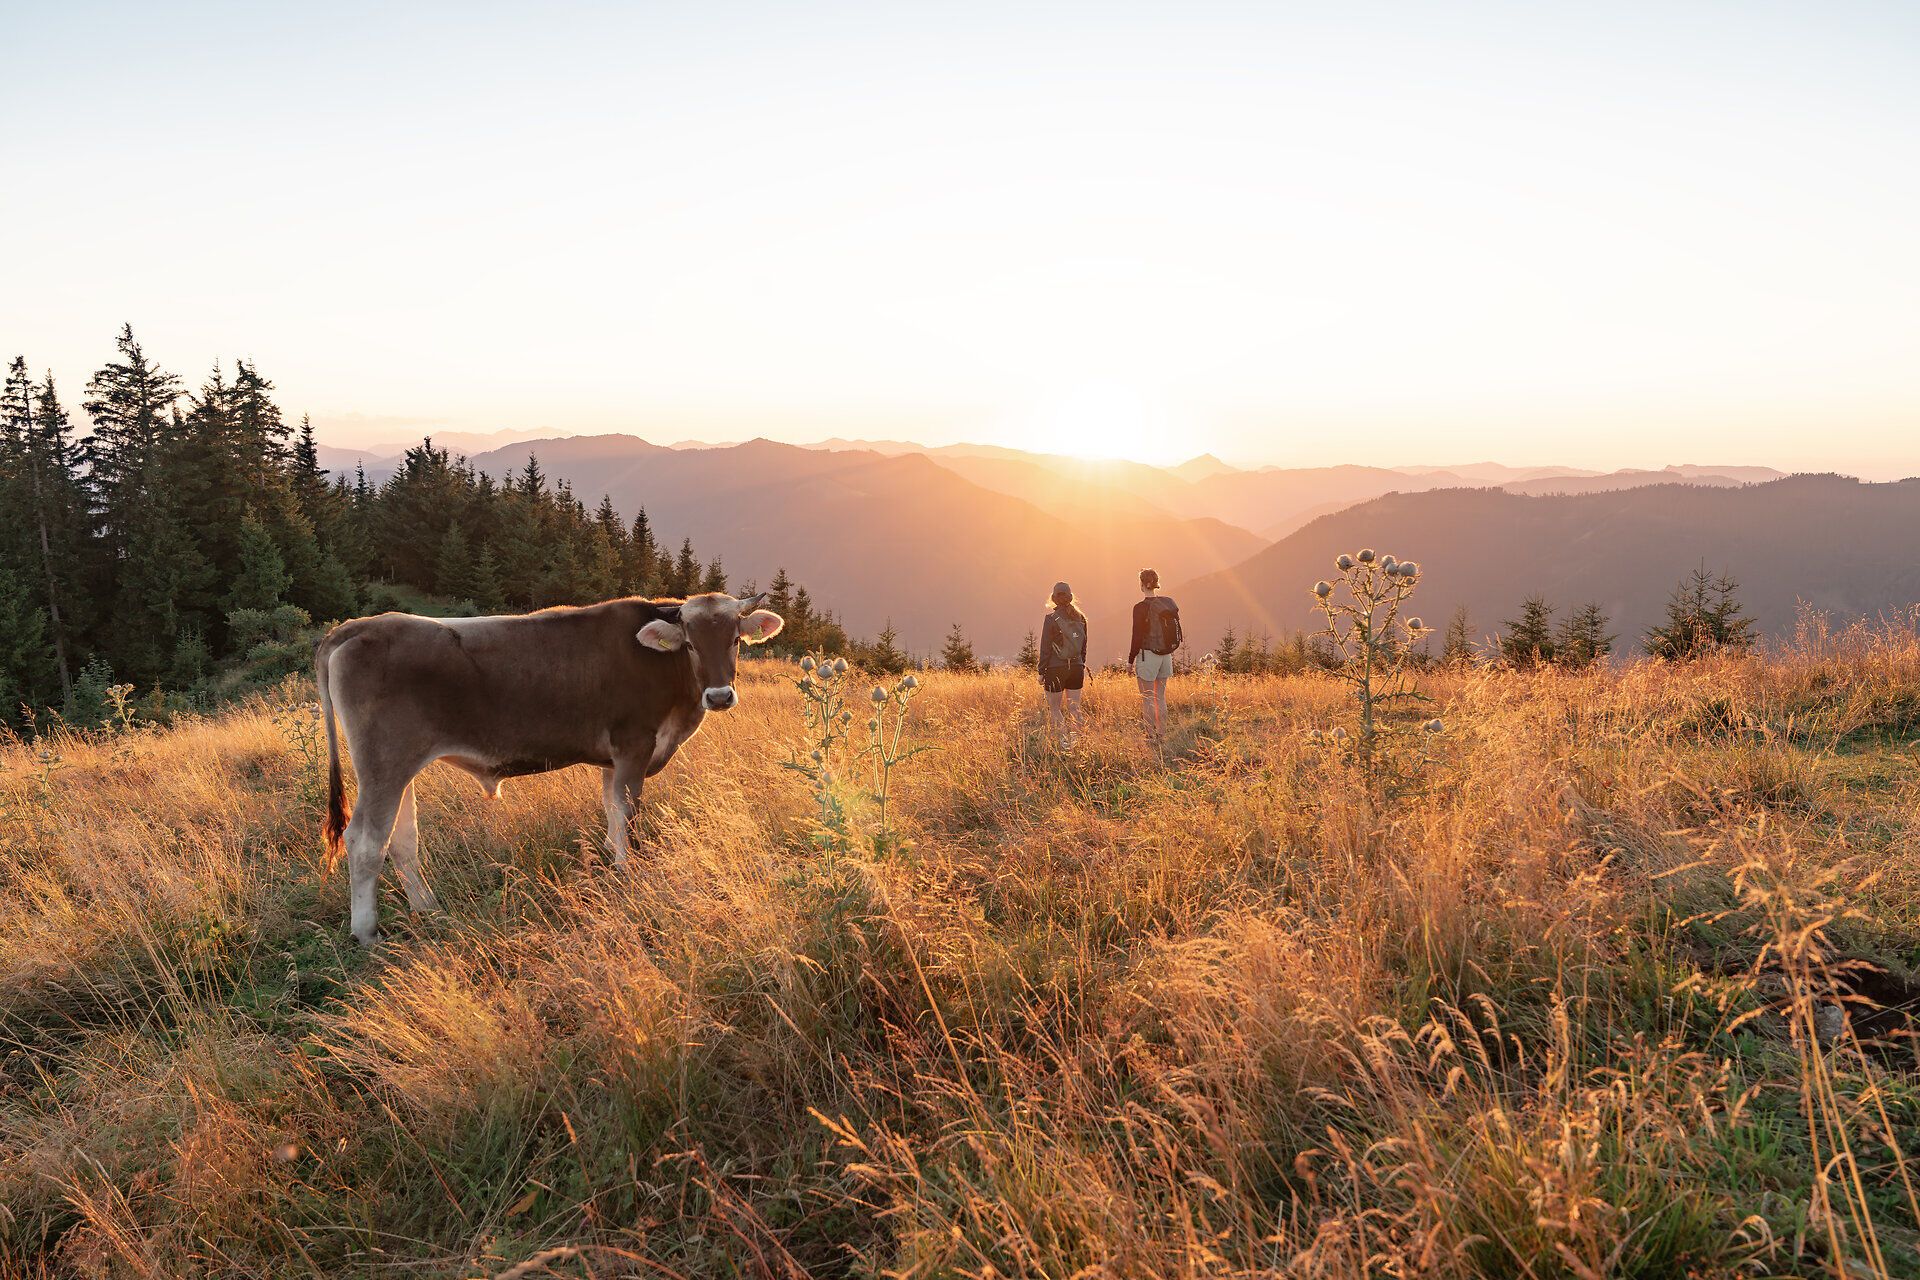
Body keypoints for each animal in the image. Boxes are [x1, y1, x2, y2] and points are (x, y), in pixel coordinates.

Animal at [315, 591, 784, 945]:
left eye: (735, 640)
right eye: (689, 643)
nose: (720, 696)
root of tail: (356, 626)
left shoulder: (613, 760)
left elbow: (612, 815)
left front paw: (613, 864)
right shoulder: (634, 746)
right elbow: (628, 816)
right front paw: (631, 874)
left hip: (402, 767)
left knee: (402, 840)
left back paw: (428, 909)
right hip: (384, 764)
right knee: (365, 841)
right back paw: (368, 934)